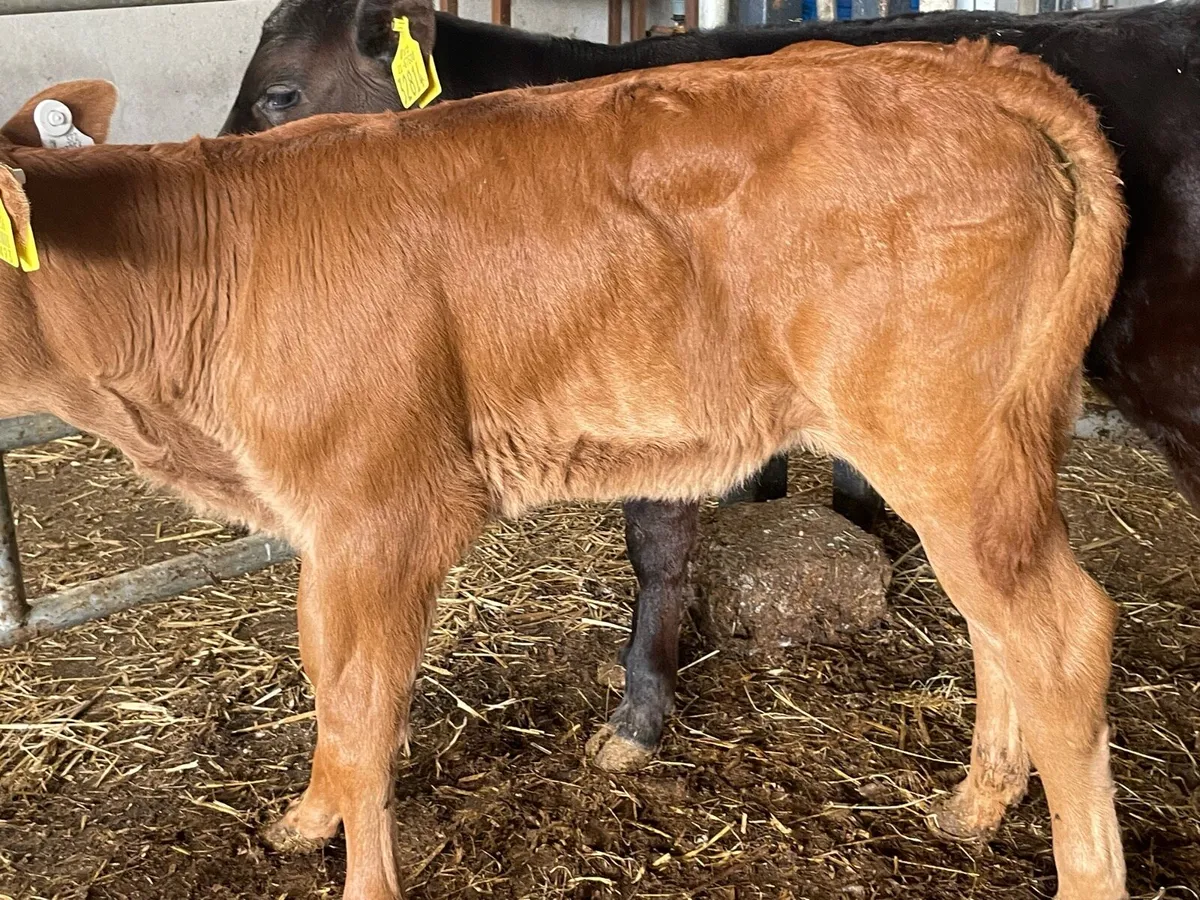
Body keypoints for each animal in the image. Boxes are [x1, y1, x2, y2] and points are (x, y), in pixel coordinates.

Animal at [4, 39, 1126, 898]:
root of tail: (966, 64)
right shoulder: (323, 520)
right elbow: (323, 671)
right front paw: (305, 818)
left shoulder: (387, 511)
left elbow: (365, 711)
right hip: (979, 452)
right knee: (996, 621)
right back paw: (974, 805)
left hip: (941, 438)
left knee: (1060, 632)